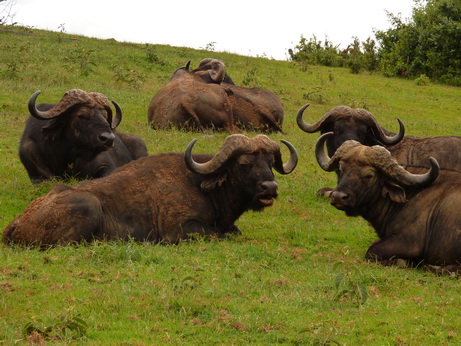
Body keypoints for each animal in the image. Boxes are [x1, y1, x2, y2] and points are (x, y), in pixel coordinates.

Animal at [3, 132, 296, 246]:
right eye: (244, 164)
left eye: (269, 162)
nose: (270, 187)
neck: (200, 183)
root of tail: (16, 223)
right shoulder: (181, 231)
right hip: (89, 207)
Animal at [314, 132, 460, 274]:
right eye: (341, 169)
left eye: (368, 175)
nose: (338, 197)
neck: (411, 193)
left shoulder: (408, 242)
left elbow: (371, 251)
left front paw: (400, 262)